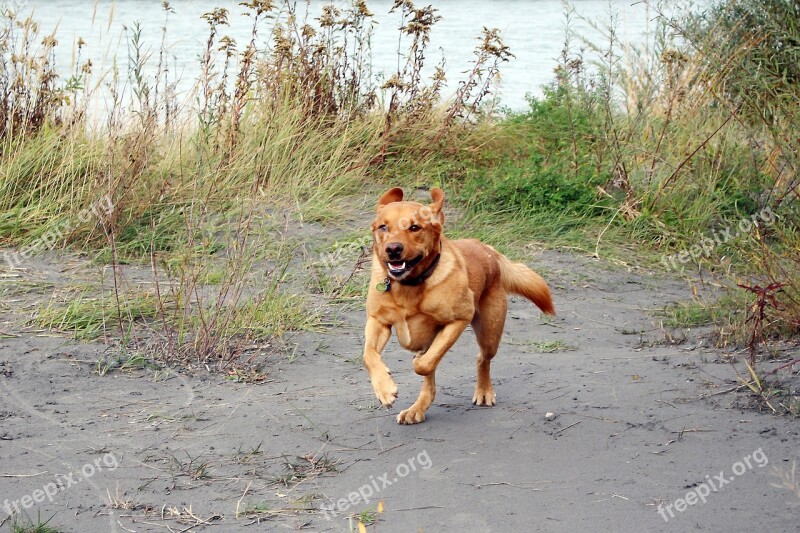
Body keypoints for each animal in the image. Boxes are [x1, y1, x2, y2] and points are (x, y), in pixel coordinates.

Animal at [364, 187, 556, 424]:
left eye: (415, 227)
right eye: (383, 227)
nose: (393, 249)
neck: (409, 286)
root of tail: (486, 248)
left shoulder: (458, 320)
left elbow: (424, 364)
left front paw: (416, 362)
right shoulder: (377, 321)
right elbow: (368, 355)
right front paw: (384, 389)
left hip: (490, 333)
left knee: (481, 359)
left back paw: (484, 391)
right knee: (431, 386)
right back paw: (416, 409)